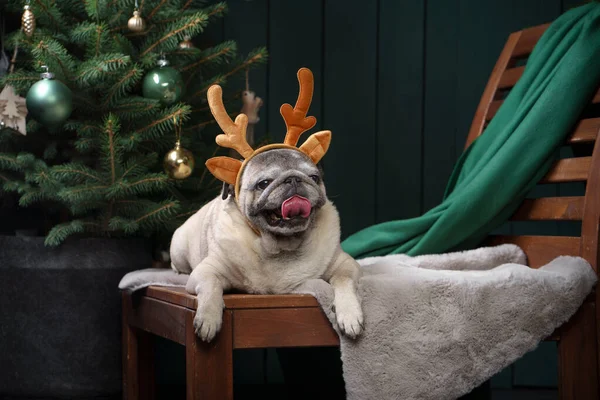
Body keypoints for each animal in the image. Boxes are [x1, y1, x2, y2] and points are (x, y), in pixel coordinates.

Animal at [169, 67, 360, 342]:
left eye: (314, 178)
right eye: (264, 183)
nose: (294, 179)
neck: (280, 246)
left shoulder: (346, 266)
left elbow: (344, 282)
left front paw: (350, 315)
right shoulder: (206, 272)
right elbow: (211, 287)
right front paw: (208, 319)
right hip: (179, 248)